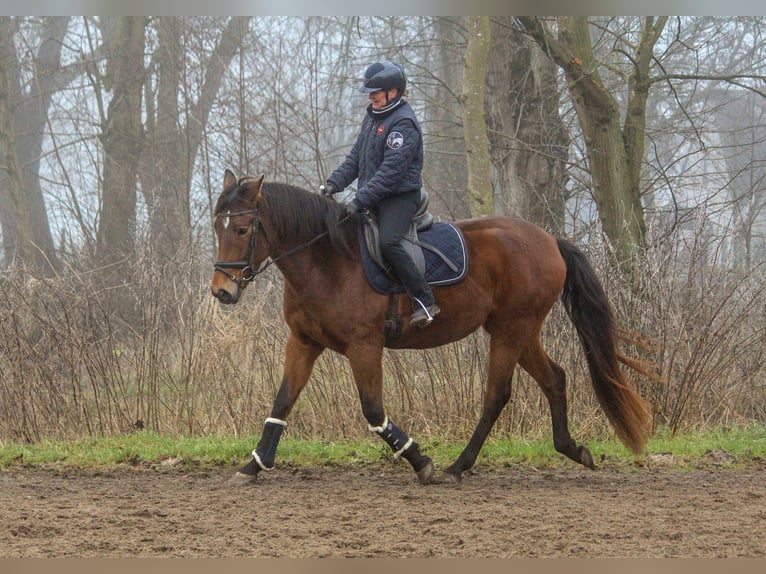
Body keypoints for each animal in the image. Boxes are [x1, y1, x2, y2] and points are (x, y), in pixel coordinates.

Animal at [212, 171, 656, 486]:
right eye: (218, 227)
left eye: (242, 229)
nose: (222, 291)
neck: (328, 260)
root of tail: (549, 240)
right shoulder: (304, 342)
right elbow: (281, 403)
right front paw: (253, 465)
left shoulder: (364, 346)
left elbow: (373, 410)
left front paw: (419, 459)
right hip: (522, 331)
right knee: (555, 380)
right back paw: (572, 449)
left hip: (511, 330)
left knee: (496, 396)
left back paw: (458, 465)